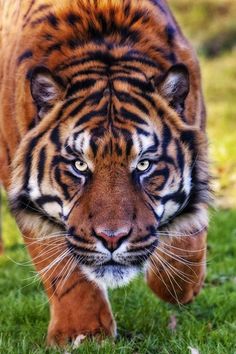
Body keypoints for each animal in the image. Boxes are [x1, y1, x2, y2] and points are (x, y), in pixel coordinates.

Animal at [0, 0, 210, 348]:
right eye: (79, 165)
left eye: (143, 165)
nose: (112, 238)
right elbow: (62, 268)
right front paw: (81, 332)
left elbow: (187, 234)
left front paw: (180, 285)